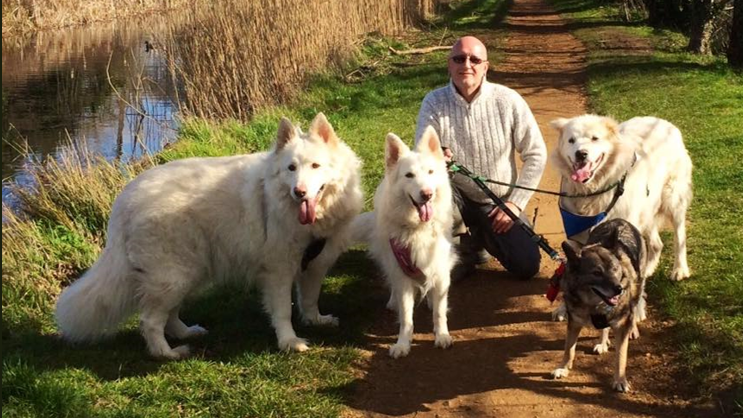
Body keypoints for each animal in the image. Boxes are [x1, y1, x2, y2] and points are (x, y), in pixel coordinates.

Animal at [55, 112, 364, 358]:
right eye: (291, 168)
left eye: (315, 166)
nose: (299, 192)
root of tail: (124, 200)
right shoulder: (279, 270)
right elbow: (283, 311)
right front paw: (289, 341)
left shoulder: (315, 264)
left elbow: (309, 299)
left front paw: (316, 320)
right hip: (174, 275)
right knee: (150, 320)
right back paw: (167, 353)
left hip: (189, 272)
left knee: (169, 314)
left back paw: (185, 333)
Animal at [548, 219, 648, 392]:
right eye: (596, 273)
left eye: (615, 269)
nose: (618, 289)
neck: (593, 304)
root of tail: (620, 221)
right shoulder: (574, 322)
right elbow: (569, 348)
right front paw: (563, 368)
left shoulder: (621, 324)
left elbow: (621, 356)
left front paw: (620, 380)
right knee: (604, 328)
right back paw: (602, 342)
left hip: (637, 286)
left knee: (634, 306)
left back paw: (632, 329)